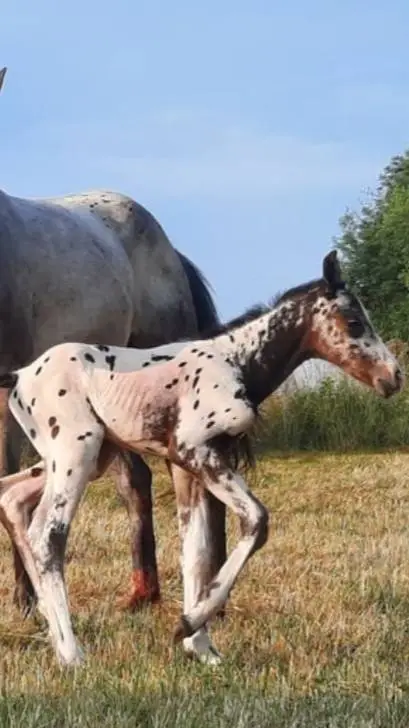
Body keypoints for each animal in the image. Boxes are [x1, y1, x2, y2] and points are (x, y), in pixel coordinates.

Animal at [0, 250, 402, 666]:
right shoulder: (194, 450)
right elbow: (256, 521)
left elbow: (195, 550)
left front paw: (202, 648)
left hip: (83, 458)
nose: (393, 376)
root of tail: (20, 375)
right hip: (76, 454)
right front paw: (187, 625)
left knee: (11, 498)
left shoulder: (188, 470)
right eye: (354, 322)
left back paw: (50, 630)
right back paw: (71, 654)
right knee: (48, 536)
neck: (235, 362)